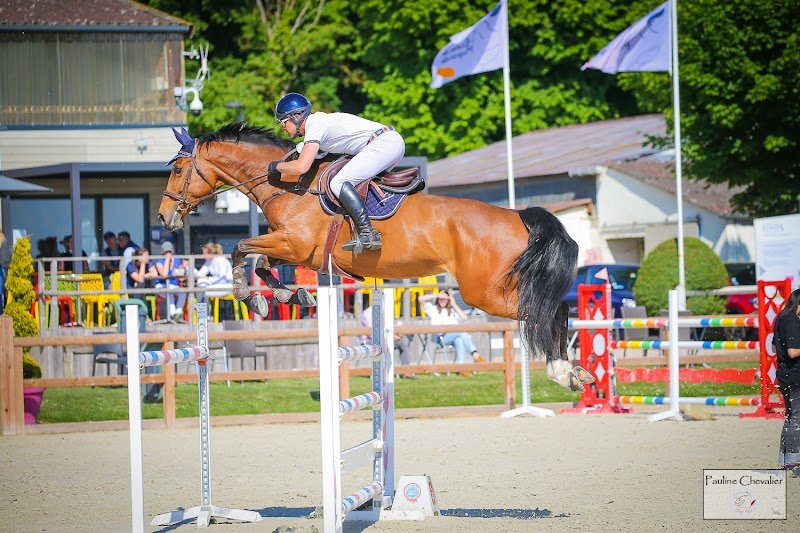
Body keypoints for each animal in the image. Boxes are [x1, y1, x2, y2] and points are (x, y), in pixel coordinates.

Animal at [158, 123, 593, 391]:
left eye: (178, 169)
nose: (164, 217)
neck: (288, 185)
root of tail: (518, 215)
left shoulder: (292, 244)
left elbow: (241, 249)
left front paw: (247, 295)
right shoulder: (293, 249)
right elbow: (263, 265)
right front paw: (287, 296)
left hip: (483, 292)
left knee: (547, 311)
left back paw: (562, 371)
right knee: (553, 309)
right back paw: (572, 372)